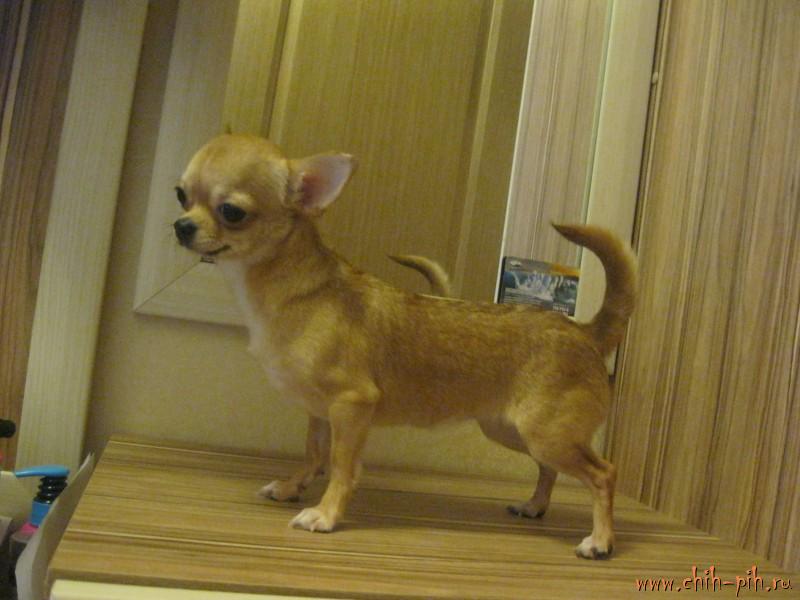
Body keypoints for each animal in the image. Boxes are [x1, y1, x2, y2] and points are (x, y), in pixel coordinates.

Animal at [173, 134, 636, 559]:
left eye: (232, 212)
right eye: (181, 195)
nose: (180, 226)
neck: (290, 290)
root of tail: (584, 331)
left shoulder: (352, 407)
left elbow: (340, 467)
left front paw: (326, 514)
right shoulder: (320, 412)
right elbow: (313, 455)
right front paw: (291, 487)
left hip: (547, 435)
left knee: (604, 473)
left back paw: (600, 540)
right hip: (515, 430)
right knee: (549, 470)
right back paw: (535, 505)